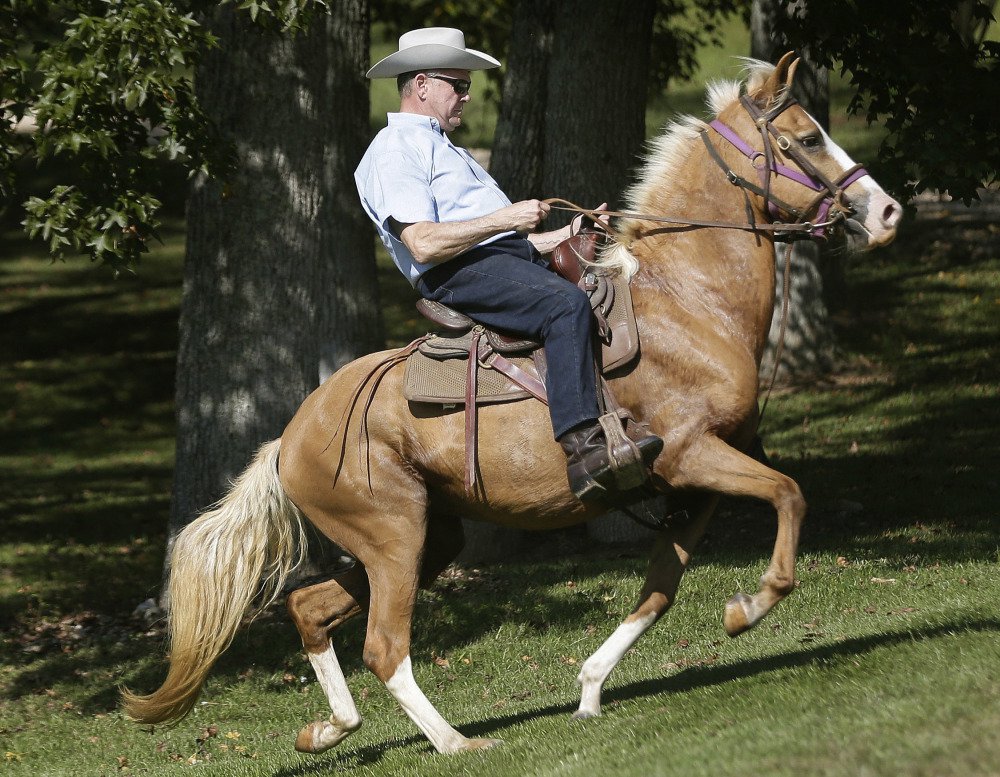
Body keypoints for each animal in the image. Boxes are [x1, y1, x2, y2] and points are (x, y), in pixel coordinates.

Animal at [121, 57, 904, 756]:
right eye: (806, 138)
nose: (887, 210)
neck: (689, 301)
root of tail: (288, 439)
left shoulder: (693, 481)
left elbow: (660, 588)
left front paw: (592, 686)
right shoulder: (694, 455)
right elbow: (790, 495)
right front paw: (751, 605)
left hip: (426, 539)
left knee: (309, 609)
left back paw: (329, 729)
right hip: (394, 540)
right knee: (384, 647)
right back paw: (454, 741)